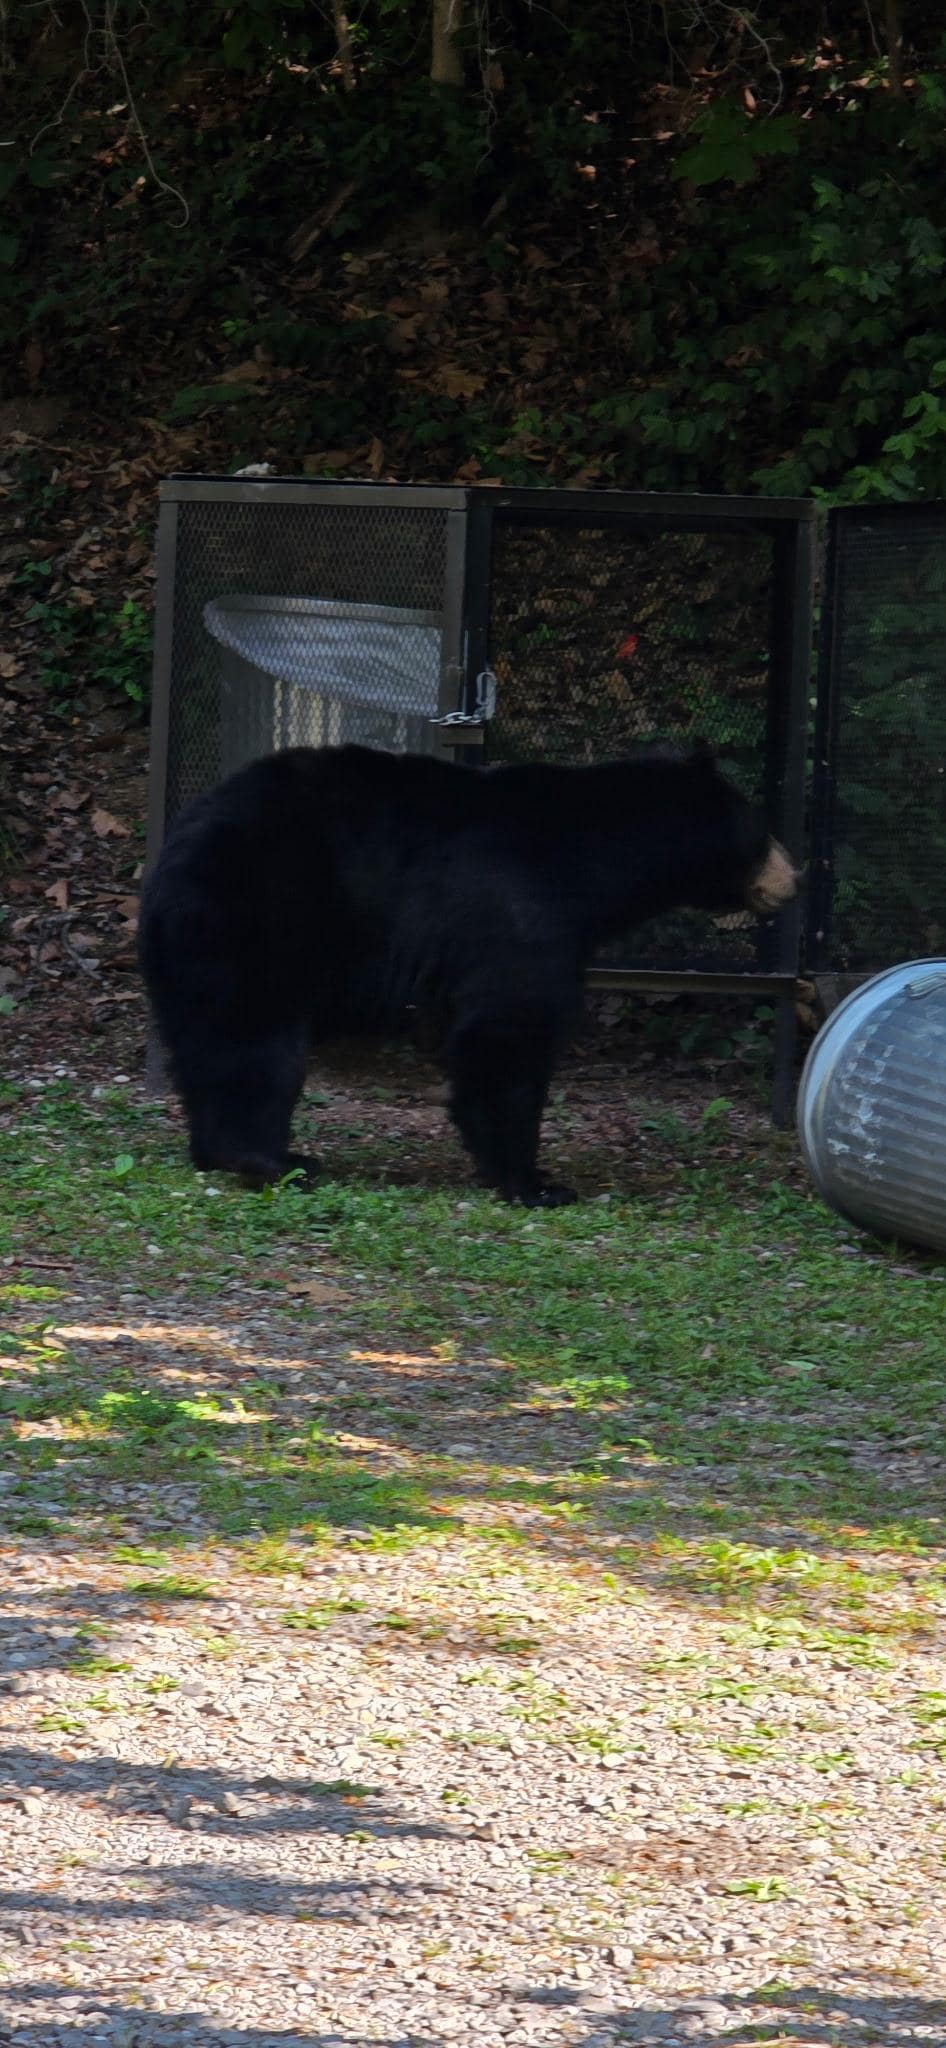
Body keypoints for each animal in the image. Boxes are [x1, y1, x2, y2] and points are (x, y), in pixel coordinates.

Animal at [139, 742, 796, 1207]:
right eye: (762, 833)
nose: (795, 877)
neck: (595, 862)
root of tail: (170, 852)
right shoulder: (520, 913)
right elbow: (509, 1031)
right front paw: (535, 1181)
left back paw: (220, 1150)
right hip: (259, 917)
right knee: (254, 1040)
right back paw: (272, 1159)